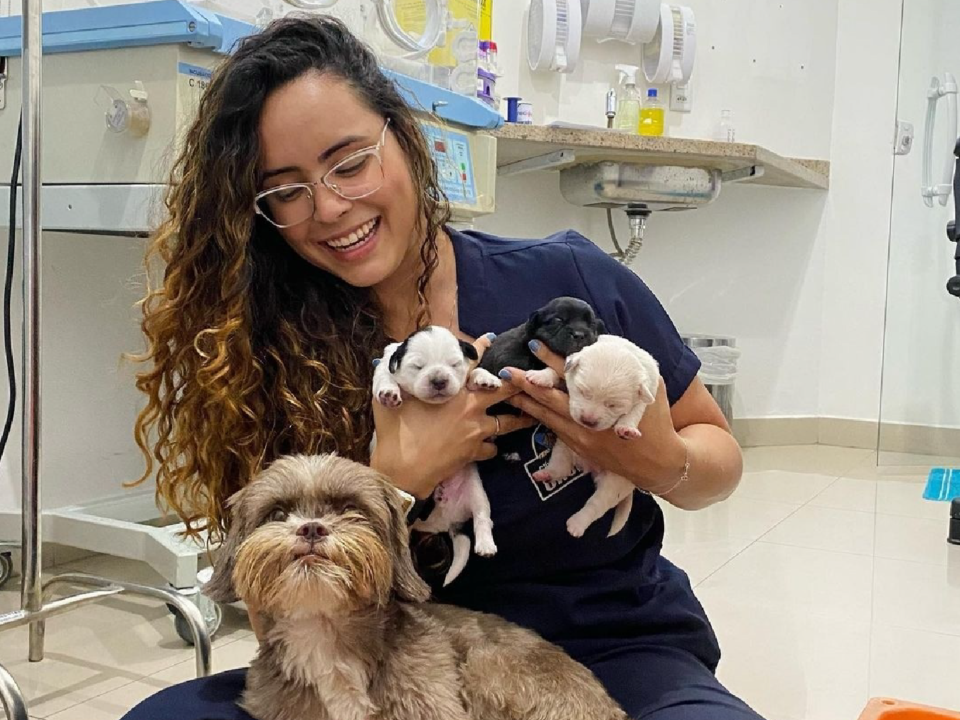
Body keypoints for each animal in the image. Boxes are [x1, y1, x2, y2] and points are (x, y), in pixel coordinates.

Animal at [372, 326, 502, 584]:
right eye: (418, 366)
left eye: (454, 364)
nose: (439, 380)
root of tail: (448, 521)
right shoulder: (384, 364)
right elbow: (384, 376)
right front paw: (389, 392)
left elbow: (473, 371)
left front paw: (485, 378)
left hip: (477, 493)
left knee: (482, 517)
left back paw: (486, 545)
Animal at [524, 334, 660, 536]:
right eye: (582, 391)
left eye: (613, 405)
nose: (588, 421)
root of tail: (588, 465)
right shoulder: (567, 371)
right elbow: (557, 371)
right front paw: (541, 376)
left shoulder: (647, 392)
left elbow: (634, 412)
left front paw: (626, 428)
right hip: (564, 448)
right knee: (561, 467)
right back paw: (545, 475)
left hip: (615, 484)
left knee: (596, 505)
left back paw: (577, 524)